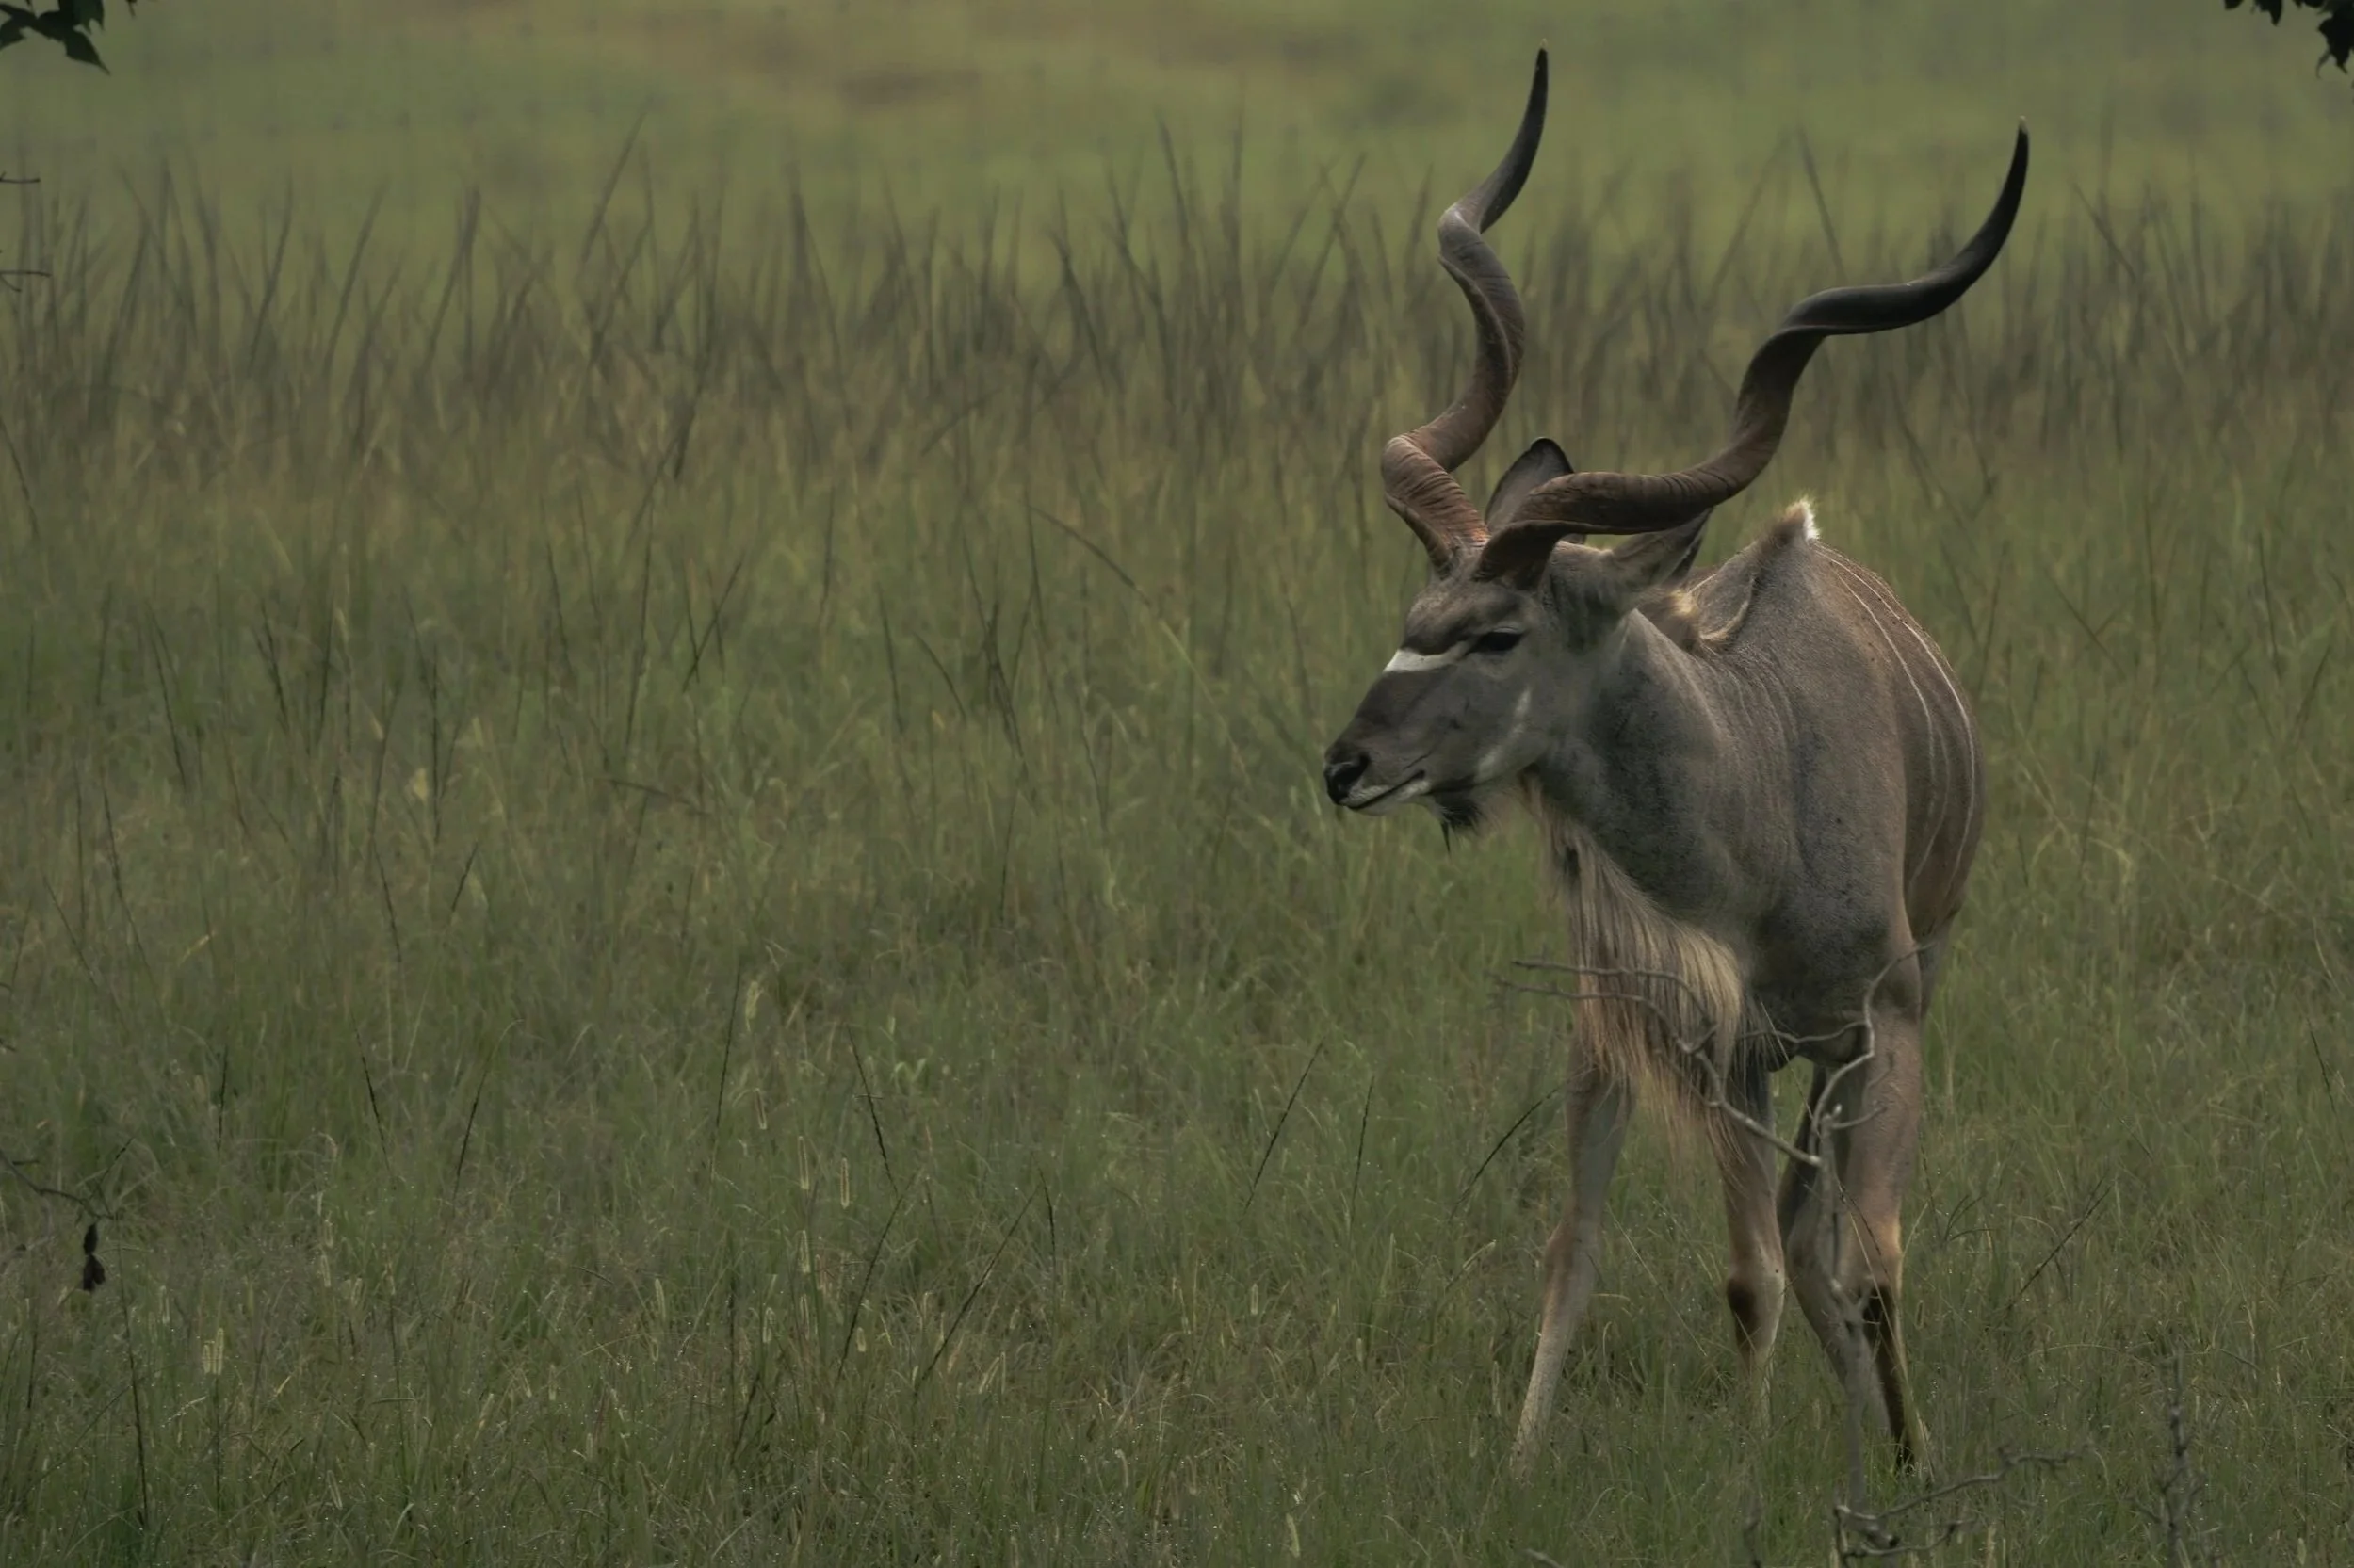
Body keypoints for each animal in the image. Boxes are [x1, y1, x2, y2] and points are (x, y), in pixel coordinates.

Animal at [1320, 50, 2027, 1475]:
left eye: (1496, 631)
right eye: (1411, 616)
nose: (1346, 763)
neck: (1754, 813)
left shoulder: (1882, 1024)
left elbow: (1866, 1262)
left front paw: (1904, 1460)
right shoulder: (1719, 1047)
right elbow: (1742, 1272)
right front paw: (1757, 1467)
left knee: (1818, 1237)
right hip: (1619, 1033)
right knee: (1592, 1240)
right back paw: (1527, 1455)